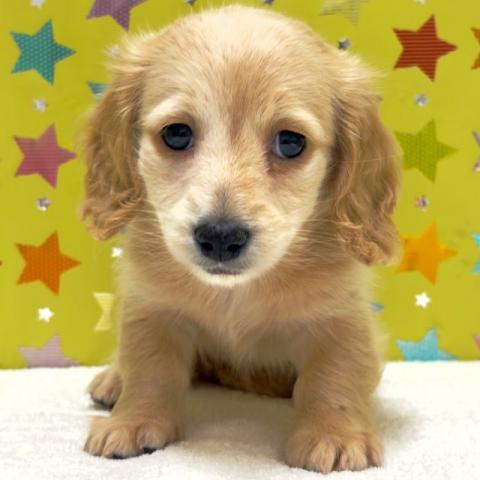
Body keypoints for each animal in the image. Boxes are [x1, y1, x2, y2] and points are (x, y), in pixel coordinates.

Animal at [82, 5, 400, 473]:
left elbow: (334, 376)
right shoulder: (152, 309)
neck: (236, 292)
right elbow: (149, 368)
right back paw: (112, 381)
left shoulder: (340, 319)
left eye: (290, 142)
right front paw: (132, 421)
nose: (219, 236)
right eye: (177, 134)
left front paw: (335, 435)